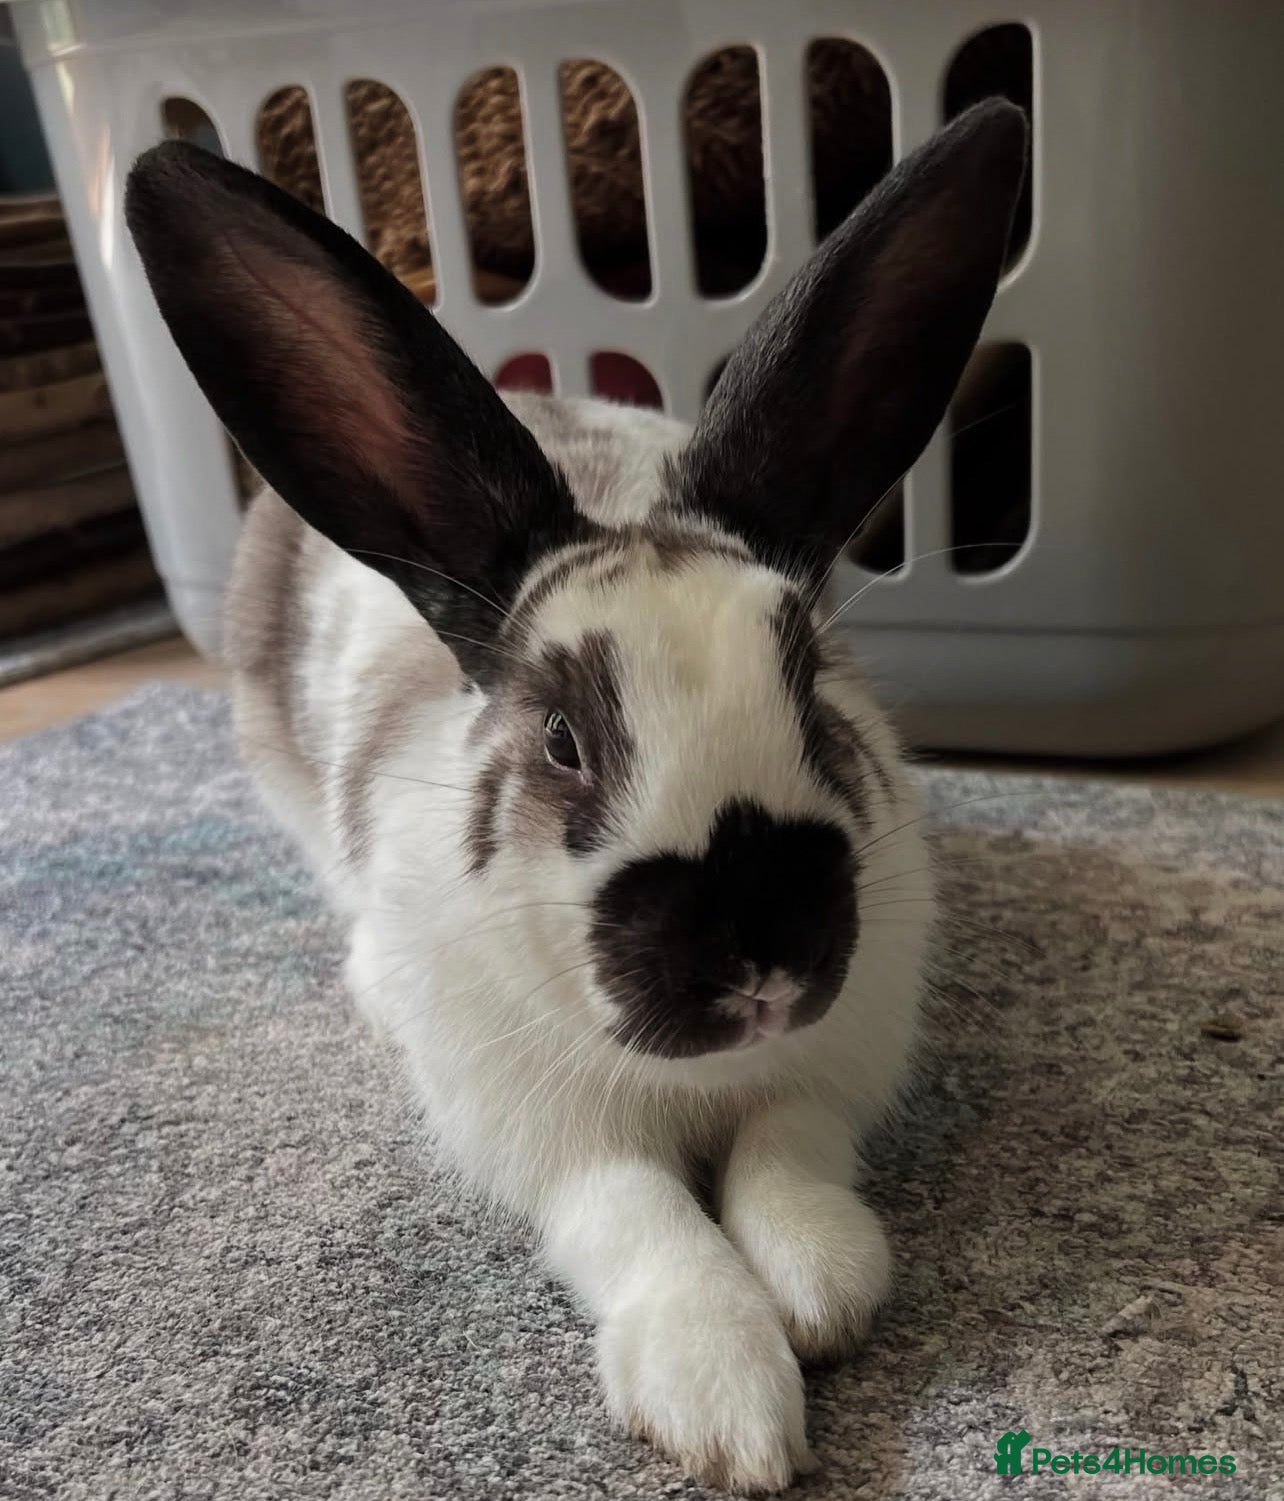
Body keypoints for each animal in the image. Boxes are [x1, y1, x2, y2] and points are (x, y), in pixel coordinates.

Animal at [125, 97, 1026, 1491]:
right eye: (560, 739)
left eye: (808, 681)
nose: (760, 955)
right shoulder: (553, 1137)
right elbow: (640, 1217)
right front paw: (725, 1399)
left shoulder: (832, 1070)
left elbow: (790, 1156)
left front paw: (821, 1283)